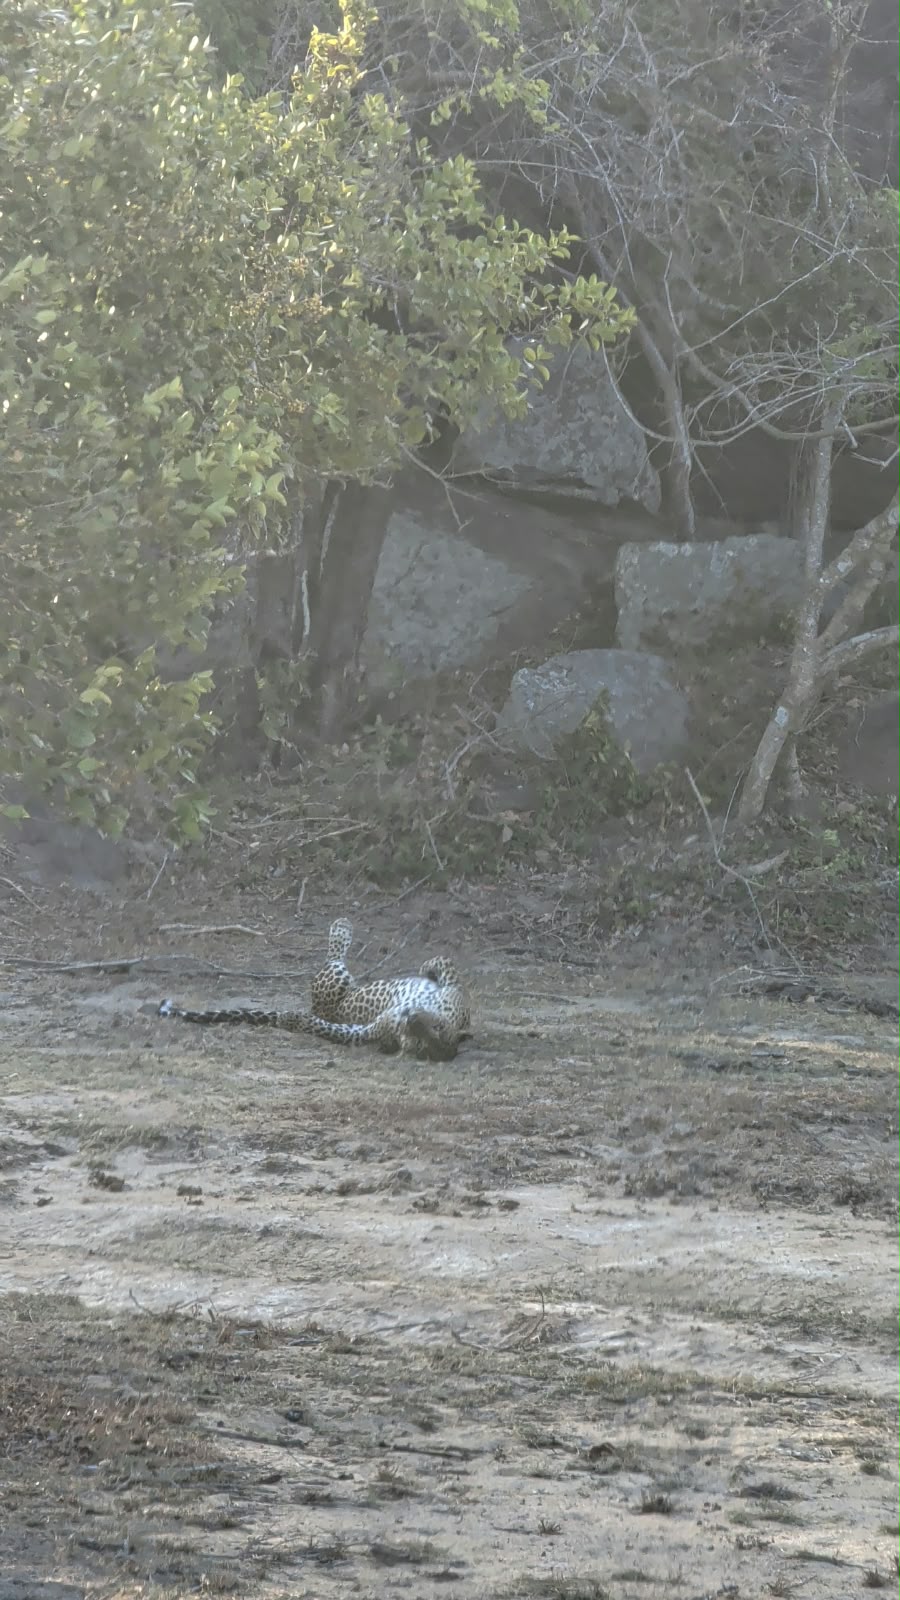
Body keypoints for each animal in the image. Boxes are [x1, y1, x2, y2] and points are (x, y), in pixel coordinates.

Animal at [157, 919, 470, 1062]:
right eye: (437, 1028)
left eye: (418, 1043)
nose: (410, 1019)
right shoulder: (453, 986)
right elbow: (442, 960)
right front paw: (426, 970)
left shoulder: (364, 1031)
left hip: (334, 984)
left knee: (332, 961)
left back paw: (341, 927)